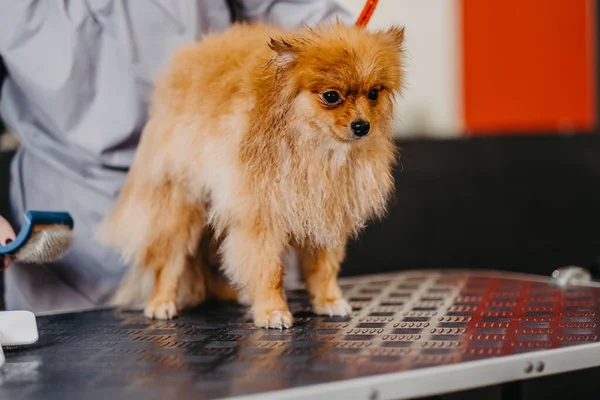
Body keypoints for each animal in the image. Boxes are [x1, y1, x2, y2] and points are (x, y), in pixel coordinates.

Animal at [98, 20, 406, 330]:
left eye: (374, 93)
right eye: (331, 96)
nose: (362, 125)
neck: (314, 147)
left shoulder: (323, 211)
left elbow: (323, 268)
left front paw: (328, 300)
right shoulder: (260, 215)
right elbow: (268, 269)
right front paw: (272, 310)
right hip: (179, 204)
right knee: (168, 260)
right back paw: (161, 302)